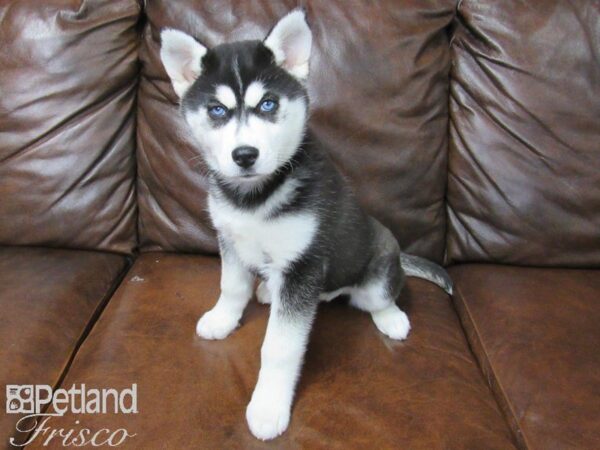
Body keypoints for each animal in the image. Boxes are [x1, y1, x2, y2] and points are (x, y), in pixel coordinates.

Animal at [159, 8, 450, 442]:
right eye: (216, 110)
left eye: (268, 104)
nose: (244, 155)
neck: (255, 197)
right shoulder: (230, 239)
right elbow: (232, 286)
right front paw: (223, 318)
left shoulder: (304, 264)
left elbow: (280, 347)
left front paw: (268, 406)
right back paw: (268, 290)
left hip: (376, 268)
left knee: (377, 296)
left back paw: (391, 317)